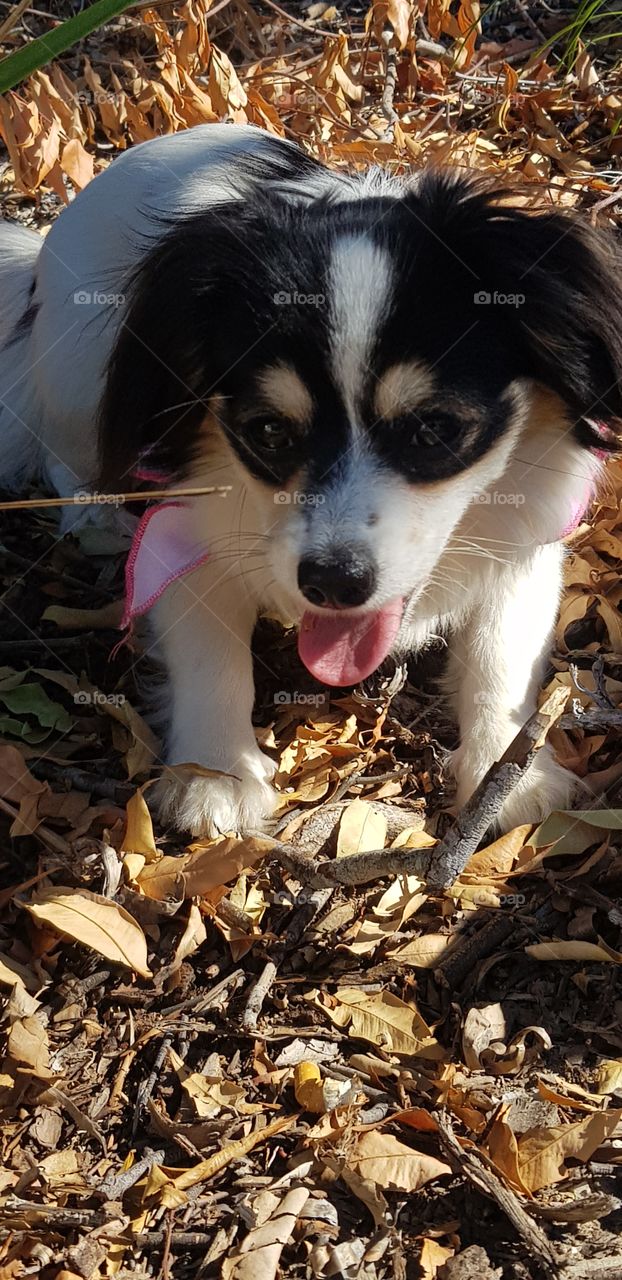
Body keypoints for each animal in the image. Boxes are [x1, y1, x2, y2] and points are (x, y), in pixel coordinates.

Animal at [1, 124, 622, 834]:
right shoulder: (183, 531)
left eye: (434, 429)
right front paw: (216, 778)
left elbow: (503, 654)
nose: (332, 582)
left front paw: (509, 775)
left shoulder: (528, 539)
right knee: (66, 454)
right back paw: (96, 516)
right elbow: (211, 656)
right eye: (268, 431)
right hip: (78, 373)